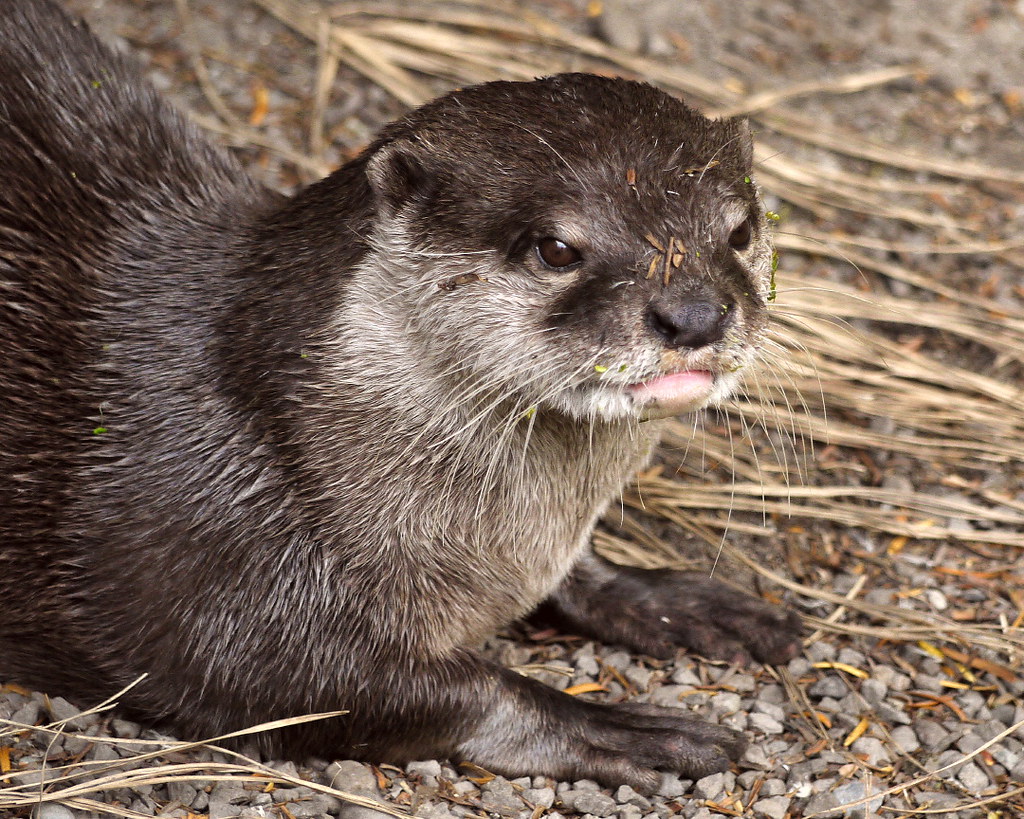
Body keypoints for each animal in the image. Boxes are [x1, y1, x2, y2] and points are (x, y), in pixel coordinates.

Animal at [0, 0, 800, 791]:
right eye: (556, 248)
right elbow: (419, 689)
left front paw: (674, 601)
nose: (695, 314)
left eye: (739, 229)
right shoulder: (200, 570)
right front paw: (623, 727)